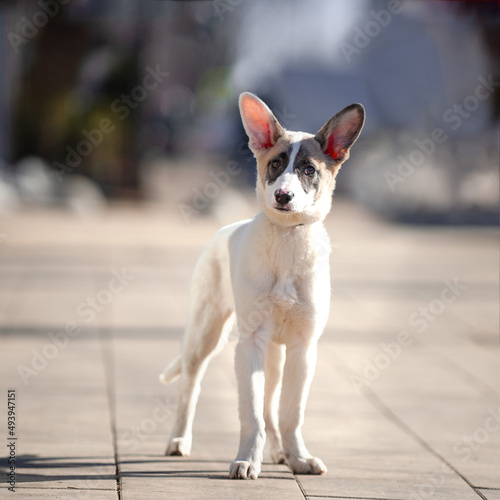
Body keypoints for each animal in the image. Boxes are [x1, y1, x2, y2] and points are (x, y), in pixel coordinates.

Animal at [159, 92, 364, 478]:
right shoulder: (250, 342)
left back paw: (279, 452)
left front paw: (298, 457)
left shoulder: (303, 347)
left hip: (274, 353)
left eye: (309, 170)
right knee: (190, 386)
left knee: (271, 401)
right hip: (205, 335)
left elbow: (289, 412)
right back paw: (179, 440)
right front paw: (246, 459)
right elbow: (251, 413)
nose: (283, 196)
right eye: (276, 164)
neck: (286, 239)